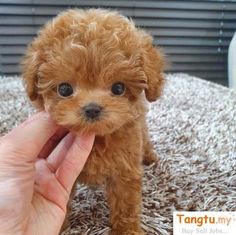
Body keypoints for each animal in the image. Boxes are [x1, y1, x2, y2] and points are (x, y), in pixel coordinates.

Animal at [21, 8, 164, 234]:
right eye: (64, 89)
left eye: (118, 88)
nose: (92, 108)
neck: (98, 138)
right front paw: (59, 226)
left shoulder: (125, 169)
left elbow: (126, 203)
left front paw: (127, 229)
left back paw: (150, 157)